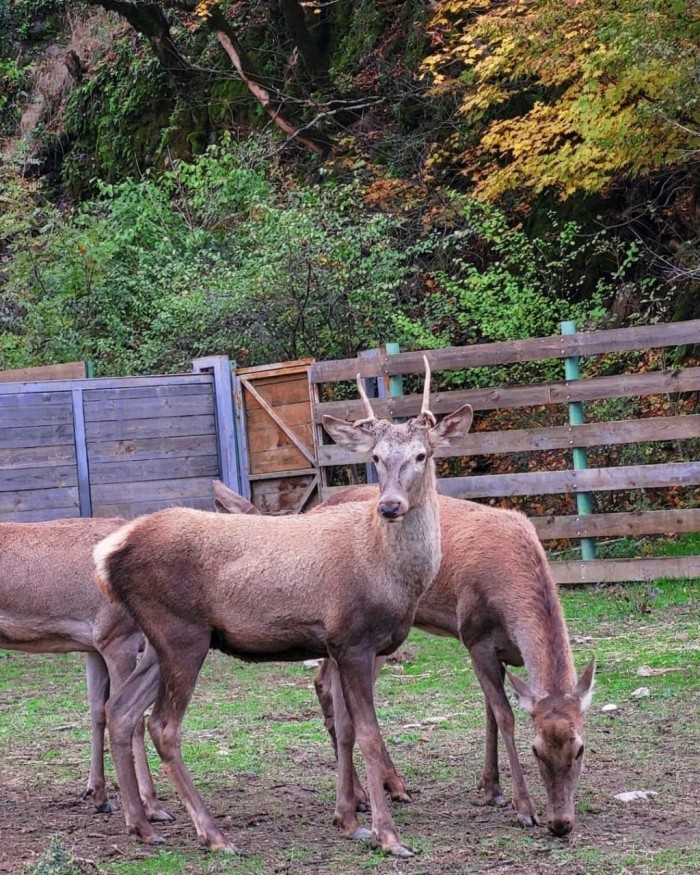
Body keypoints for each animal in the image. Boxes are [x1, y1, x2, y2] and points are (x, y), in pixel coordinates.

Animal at [0, 516, 169, 824]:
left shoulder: (93, 646)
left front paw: (99, 796)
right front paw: (152, 806)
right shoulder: (117, 636)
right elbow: (132, 718)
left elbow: (96, 711)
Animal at [93, 360, 474, 860]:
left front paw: (348, 821)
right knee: (162, 725)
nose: (391, 505)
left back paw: (141, 825)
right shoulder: (354, 639)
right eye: (375, 457)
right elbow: (369, 734)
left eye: (421, 455)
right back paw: (213, 834)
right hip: (181, 633)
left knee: (121, 711)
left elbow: (345, 728)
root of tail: (108, 555)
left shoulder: (334, 645)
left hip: (159, 639)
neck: (390, 574)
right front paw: (389, 835)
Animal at [215, 482, 596, 840]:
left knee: (324, 683)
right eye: (536, 751)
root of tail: (317, 507)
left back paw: (367, 792)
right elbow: (504, 716)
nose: (560, 823)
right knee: (332, 687)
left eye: (580, 749)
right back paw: (381, 789)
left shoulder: (499, 652)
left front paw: (490, 787)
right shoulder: (475, 637)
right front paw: (523, 807)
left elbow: (489, 710)